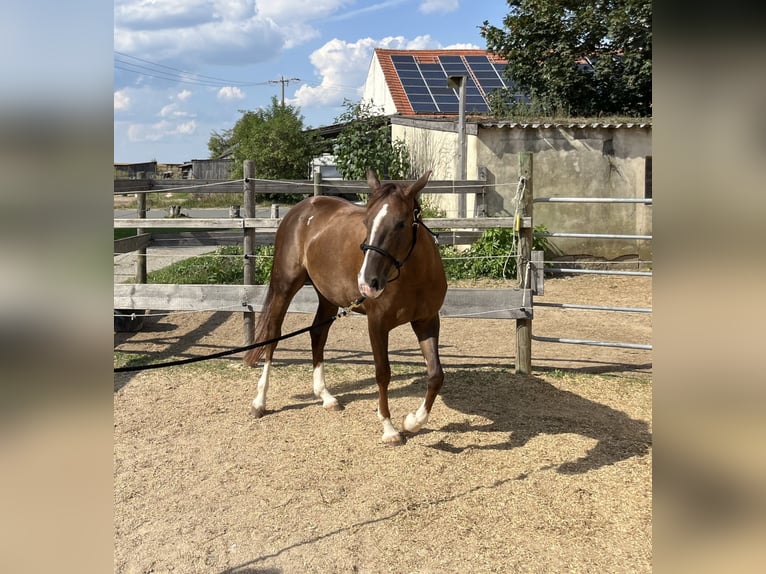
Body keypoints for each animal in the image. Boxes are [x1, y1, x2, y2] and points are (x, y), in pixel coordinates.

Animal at [244, 170, 450, 446]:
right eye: (367, 222)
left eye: (401, 224)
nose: (367, 282)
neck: (413, 278)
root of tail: (302, 208)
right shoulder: (377, 324)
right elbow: (383, 373)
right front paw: (389, 428)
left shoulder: (427, 321)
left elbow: (436, 374)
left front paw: (413, 421)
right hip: (284, 286)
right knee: (273, 336)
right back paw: (259, 402)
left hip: (328, 298)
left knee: (317, 334)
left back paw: (326, 396)